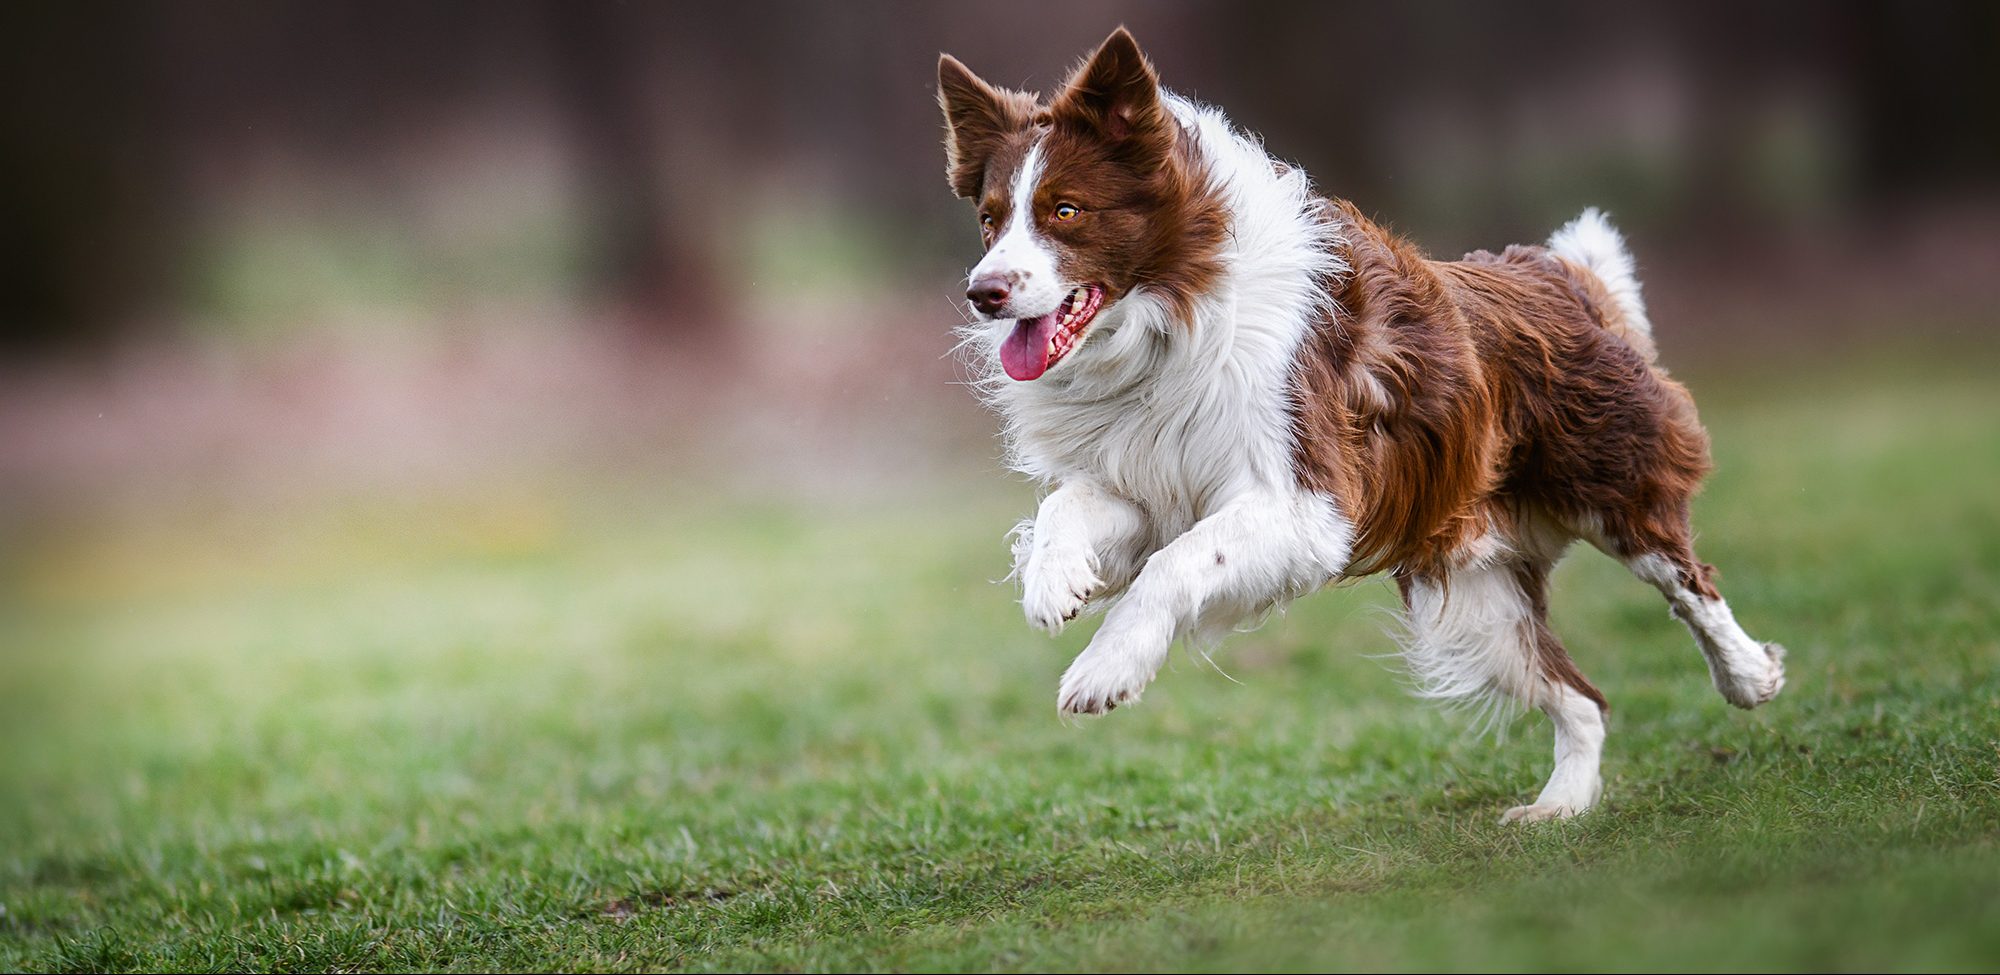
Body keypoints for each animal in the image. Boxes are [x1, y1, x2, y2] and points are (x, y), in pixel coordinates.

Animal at [944, 26, 1792, 819]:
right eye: (990, 219)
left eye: (1065, 211)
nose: (983, 292)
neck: (1168, 317)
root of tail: (1557, 272)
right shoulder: (1154, 481)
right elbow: (1071, 505)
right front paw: (1056, 581)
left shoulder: (1308, 502)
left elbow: (1176, 565)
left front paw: (1104, 669)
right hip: (1474, 592)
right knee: (1582, 695)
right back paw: (1560, 806)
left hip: (1609, 481)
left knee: (1686, 579)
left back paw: (1750, 674)